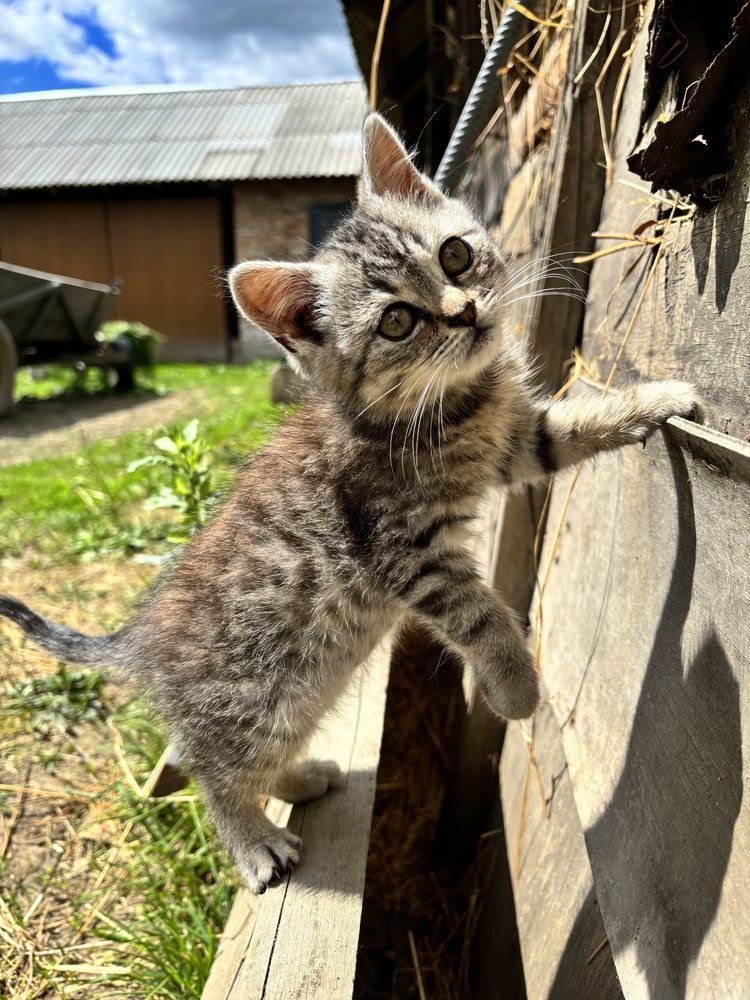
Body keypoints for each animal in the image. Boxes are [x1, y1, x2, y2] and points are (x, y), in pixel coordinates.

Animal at [1, 113, 704, 896]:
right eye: (397, 322)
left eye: (455, 255)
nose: (464, 312)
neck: (453, 406)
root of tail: (137, 639)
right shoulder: (406, 550)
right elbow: (483, 618)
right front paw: (517, 688)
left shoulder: (519, 442)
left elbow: (576, 426)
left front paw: (661, 400)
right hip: (253, 698)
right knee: (209, 767)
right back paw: (252, 840)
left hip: (302, 690)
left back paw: (299, 779)